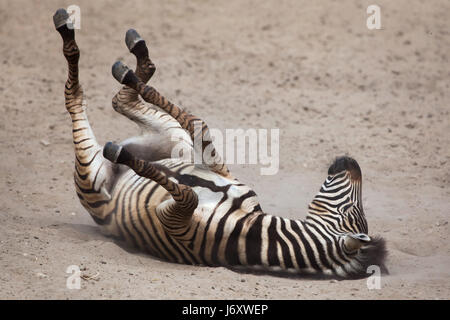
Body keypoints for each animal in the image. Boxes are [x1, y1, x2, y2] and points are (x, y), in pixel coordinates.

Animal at [53, 6, 386, 278]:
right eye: (354, 211)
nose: (351, 161)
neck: (250, 233)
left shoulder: (174, 222)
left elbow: (188, 193)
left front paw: (122, 153)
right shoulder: (217, 169)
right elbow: (197, 123)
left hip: (93, 177)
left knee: (78, 99)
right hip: (176, 142)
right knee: (123, 101)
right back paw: (130, 58)